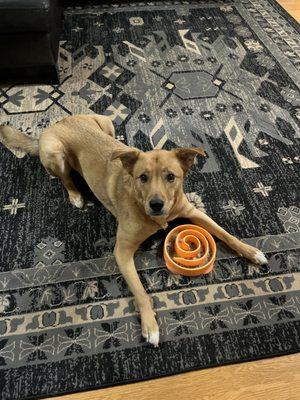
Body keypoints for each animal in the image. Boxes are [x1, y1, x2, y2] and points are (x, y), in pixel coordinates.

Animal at [0, 113, 268, 346]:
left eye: (171, 177)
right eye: (143, 177)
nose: (157, 204)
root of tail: (57, 122)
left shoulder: (192, 212)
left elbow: (225, 234)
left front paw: (251, 252)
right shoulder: (122, 251)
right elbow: (140, 292)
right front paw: (150, 327)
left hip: (106, 123)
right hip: (55, 154)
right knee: (65, 179)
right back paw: (76, 195)